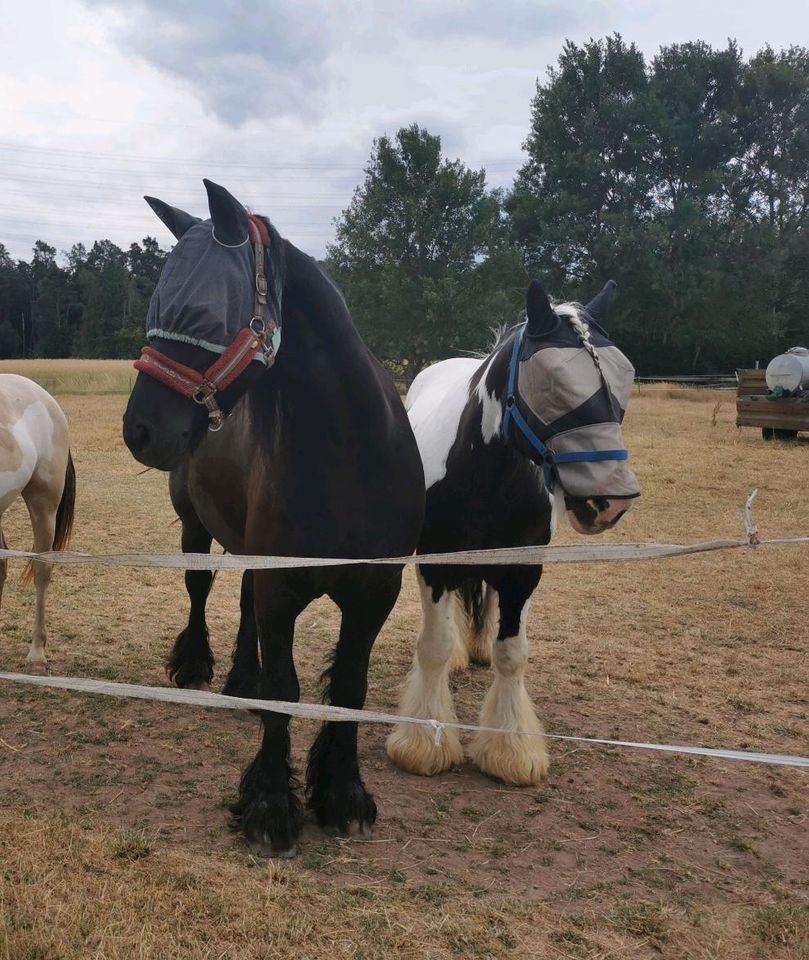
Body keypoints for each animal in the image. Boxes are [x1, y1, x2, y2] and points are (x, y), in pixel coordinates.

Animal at [121, 180, 422, 856]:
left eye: (206, 312)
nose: (139, 429)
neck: (348, 454)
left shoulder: (375, 591)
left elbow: (350, 688)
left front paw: (343, 794)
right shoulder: (284, 586)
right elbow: (286, 690)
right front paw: (270, 805)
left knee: (243, 603)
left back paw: (243, 683)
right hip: (196, 527)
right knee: (201, 588)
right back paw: (200, 667)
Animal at [386, 280, 636, 788]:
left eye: (627, 376)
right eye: (553, 383)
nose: (611, 500)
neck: (488, 471)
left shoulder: (523, 569)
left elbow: (512, 653)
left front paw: (511, 749)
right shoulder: (436, 563)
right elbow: (434, 646)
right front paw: (424, 742)